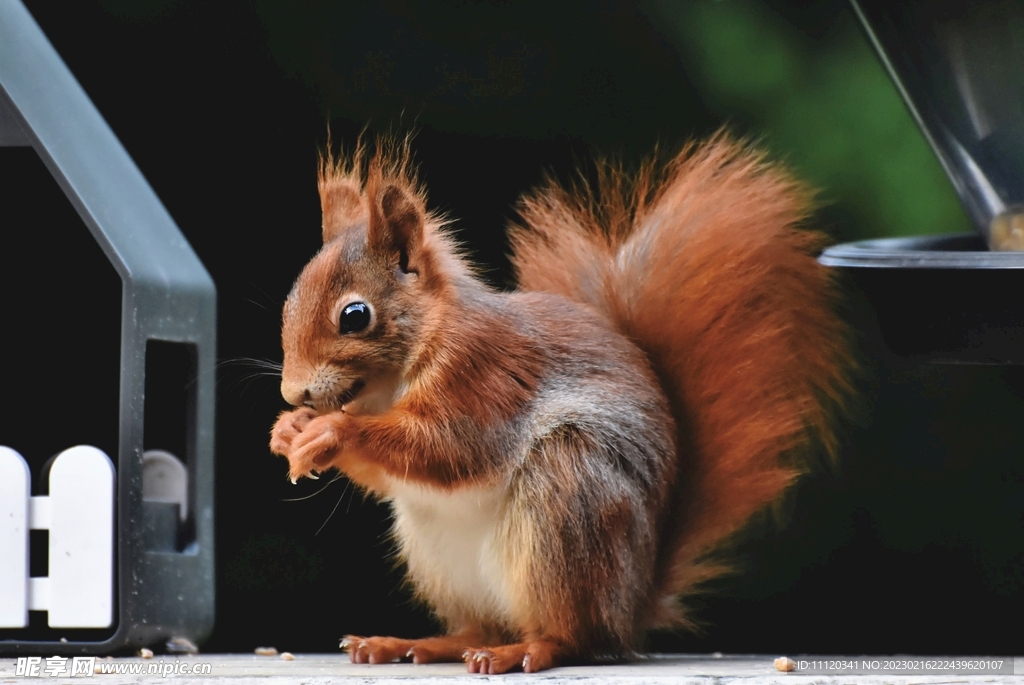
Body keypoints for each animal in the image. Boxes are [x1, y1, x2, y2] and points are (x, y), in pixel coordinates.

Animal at [268, 133, 843, 671]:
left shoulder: (483, 376)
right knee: (479, 629)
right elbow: (388, 475)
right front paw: (289, 430)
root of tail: (632, 607)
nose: (293, 393)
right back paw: (408, 643)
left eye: (355, 315)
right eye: (291, 301)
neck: (393, 380)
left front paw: (330, 431)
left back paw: (526, 650)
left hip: (568, 502)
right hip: (439, 556)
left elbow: (449, 447)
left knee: (572, 637)